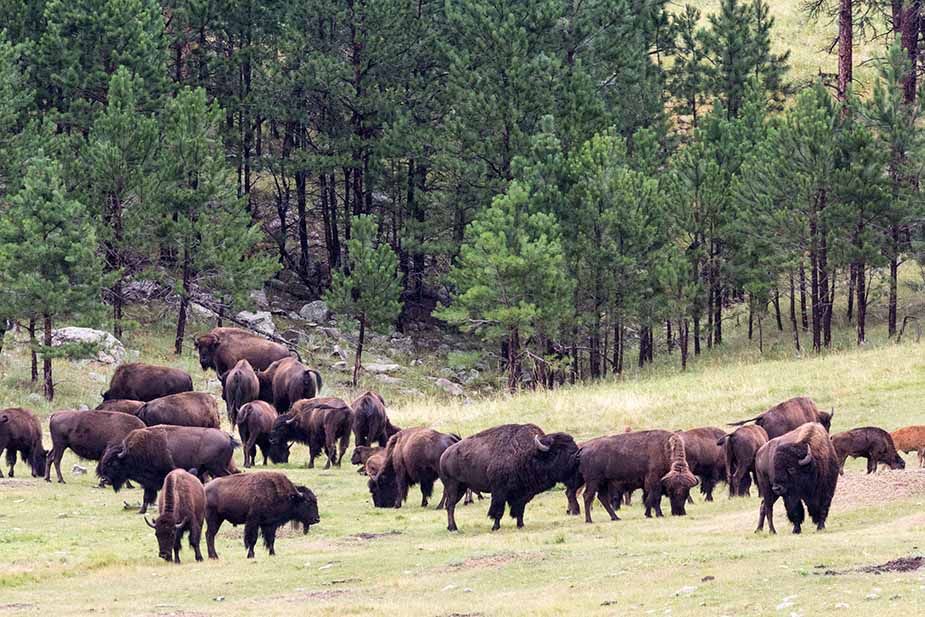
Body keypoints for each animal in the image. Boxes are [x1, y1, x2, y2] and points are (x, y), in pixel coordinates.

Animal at [97, 424, 240, 516]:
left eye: (113, 463)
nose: (105, 479)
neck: (130, 454)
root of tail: (228, 438)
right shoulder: (149, 483)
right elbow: (146, 497)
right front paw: (141, 511)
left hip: (217, 467)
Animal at [434, 422, 576, 532]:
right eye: (557, 451)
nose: (576, 458)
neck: (530, 453)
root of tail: (443, 456)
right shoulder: (499, 491)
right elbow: (498, 510)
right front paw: (495, 527)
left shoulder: (522, 494)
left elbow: (519, 510)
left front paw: (520, 525)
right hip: (453, 486)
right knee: (450, 506)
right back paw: (454, 528)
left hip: (462, 488)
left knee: (450, 505)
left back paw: (450, 527)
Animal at [568, 430, 696, 524]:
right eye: (672, 491)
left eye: (686, 492)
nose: (679, 513)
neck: (665, 448)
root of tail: (584, 448)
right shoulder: (654, 480)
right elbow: (654, 498)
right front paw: (656, 514)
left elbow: (651, 498)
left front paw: (651, 514)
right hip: (593, 482)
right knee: (587, 496)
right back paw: (589, 520)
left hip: (602, 482)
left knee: (601, 497)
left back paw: (615, 517)